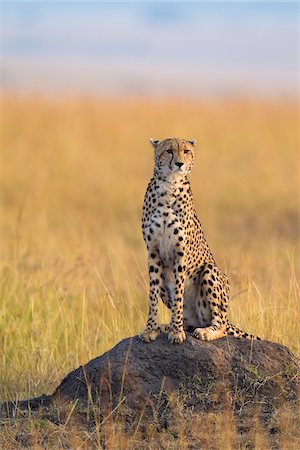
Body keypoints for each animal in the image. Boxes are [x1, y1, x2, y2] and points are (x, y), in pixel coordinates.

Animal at [139, 137, 258, 344]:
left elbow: (179, 292)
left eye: (186, 151)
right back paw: (166, 326)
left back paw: (204, 332)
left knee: (221, 325)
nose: (179, 163)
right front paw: (151, 329)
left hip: (210, 271)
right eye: (169, 151)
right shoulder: (153, 253)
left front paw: (176, 332)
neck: (169, 186)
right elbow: (152, 294)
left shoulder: (180, 253)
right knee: (191, 321)